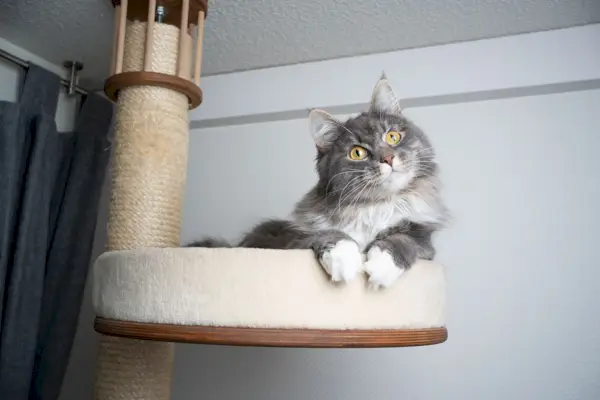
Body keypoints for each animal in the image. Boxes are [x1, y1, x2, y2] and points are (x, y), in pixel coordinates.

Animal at [190, 75, 448, 290]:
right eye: (357, 153)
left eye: (392, 137)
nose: (388, 159)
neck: (372, 206)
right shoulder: (295, 241)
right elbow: (328, 234)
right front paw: (345, 260)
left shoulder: (425, 242)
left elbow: (405, 239)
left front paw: (381, 266)